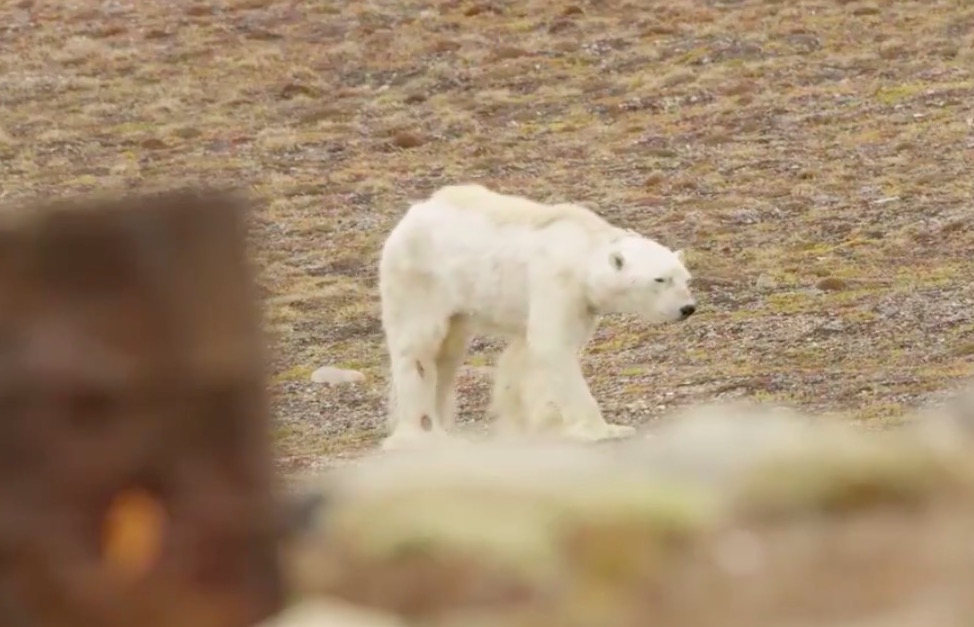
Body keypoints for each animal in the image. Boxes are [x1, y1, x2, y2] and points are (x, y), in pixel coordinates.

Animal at [378, 183, 696, 452]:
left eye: (685, 279)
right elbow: (551, 344)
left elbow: (529, 358)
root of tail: (408, 217)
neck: (581, 248)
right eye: (659, 279)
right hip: (419, 278)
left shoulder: (581, 303)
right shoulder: (556, 282)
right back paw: (423, 434)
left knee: (448, 353)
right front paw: (604, 430)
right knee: (419, 347)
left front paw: (535, 425)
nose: (688, 308)